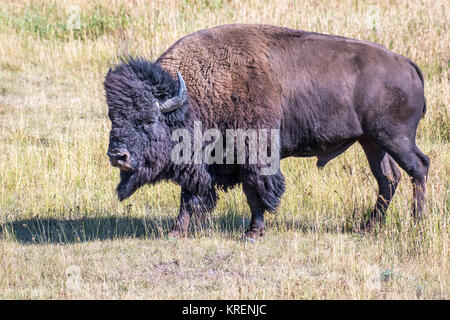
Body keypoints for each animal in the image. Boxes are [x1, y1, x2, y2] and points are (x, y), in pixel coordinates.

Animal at [103, 24, 428, 240]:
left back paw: (418, 222)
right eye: (113, 116)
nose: (117, 155)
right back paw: (368, 228)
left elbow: (255, 192)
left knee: (418, 168)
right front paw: (175, 233)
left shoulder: (254, 155)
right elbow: (188, 196)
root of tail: (408, 65)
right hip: (372, 142)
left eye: (147, 120)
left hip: (394, 138)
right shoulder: (200, 163)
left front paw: (253, 233)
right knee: (388, 179)